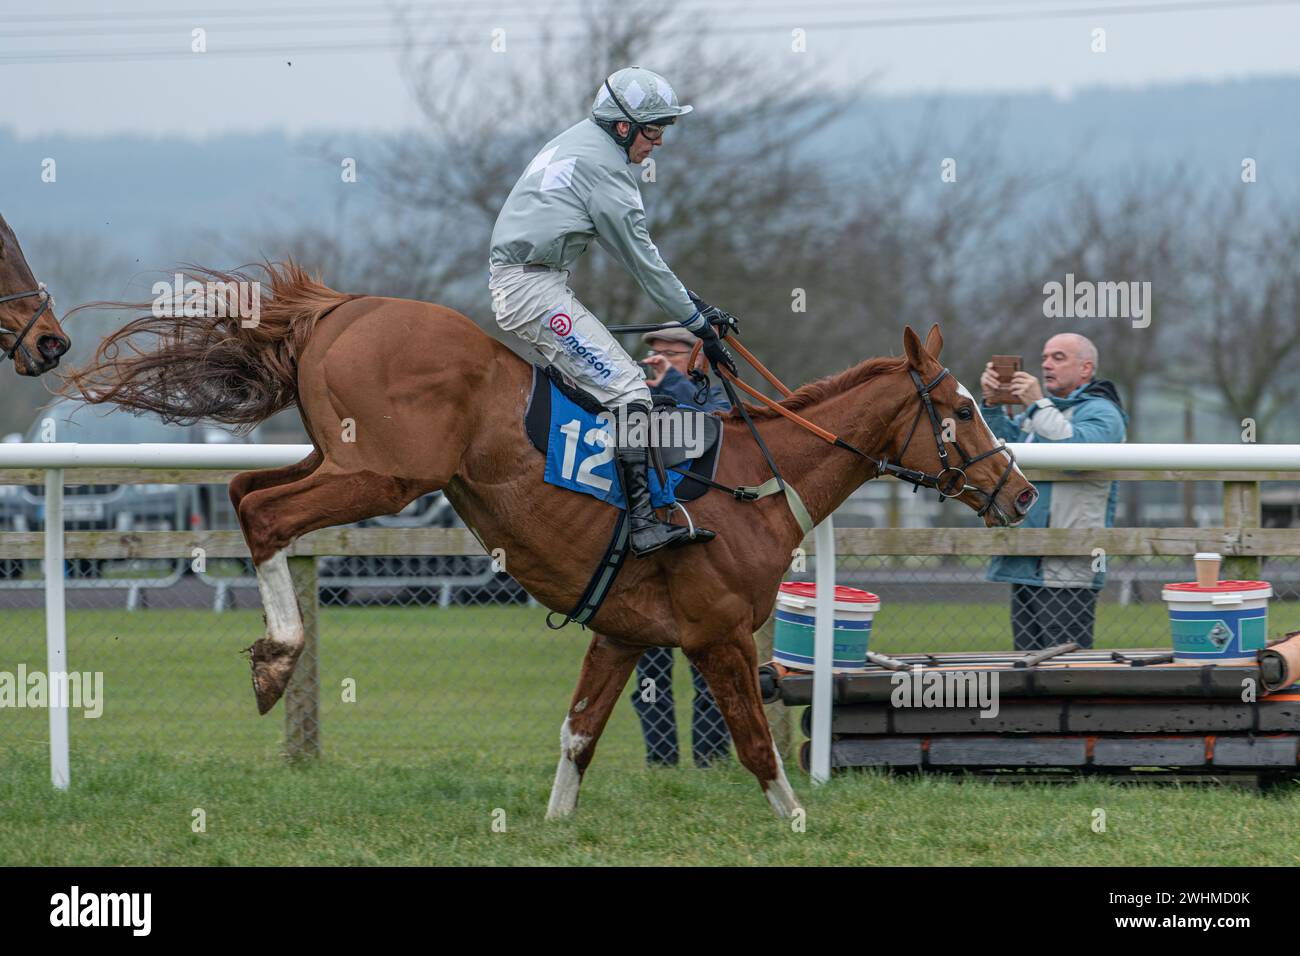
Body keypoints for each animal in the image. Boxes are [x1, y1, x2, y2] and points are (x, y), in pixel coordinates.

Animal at [61, 265, 1040, 816]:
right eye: (962, 410)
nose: (1023, 491)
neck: (758, 483)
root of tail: (342, 310)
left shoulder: (623, 632)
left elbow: (577, 736)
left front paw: (556, 824)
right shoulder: (719, 635)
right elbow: (757, 743)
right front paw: (797, 822)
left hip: (340, 457)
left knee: (242, 489)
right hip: (386, 473)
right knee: (265, 516)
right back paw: (278, 654)